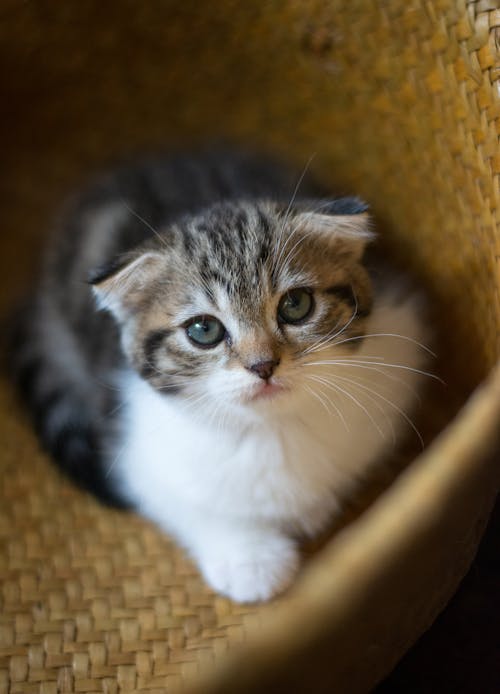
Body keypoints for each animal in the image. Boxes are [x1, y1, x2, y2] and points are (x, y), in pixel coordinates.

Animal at [13, 151, 432, 604]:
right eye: (204, 330)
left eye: (296, 305)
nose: (263, 365)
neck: (271, 429)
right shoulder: (133, 446)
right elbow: (181, 500)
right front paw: (249, 557)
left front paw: (312, 507)